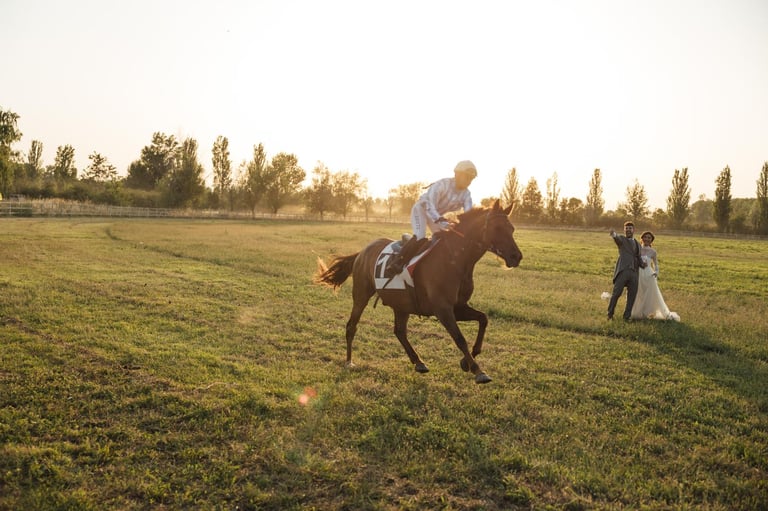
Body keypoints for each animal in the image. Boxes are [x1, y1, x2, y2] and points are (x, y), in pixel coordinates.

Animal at [314, 199, 523, 383]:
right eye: (497, 228)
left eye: (512, 229)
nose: (516, 256)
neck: (455, 259)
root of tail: (362, 251)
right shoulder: (442, 309)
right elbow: (459, 338)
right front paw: (478, 370)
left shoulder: (457, 306)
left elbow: (483, 319)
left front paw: (467, 361)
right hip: (361, 295)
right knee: (352, 326)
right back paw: (349, 361)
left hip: (401, 304)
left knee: (399, 331)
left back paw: (418, 362)